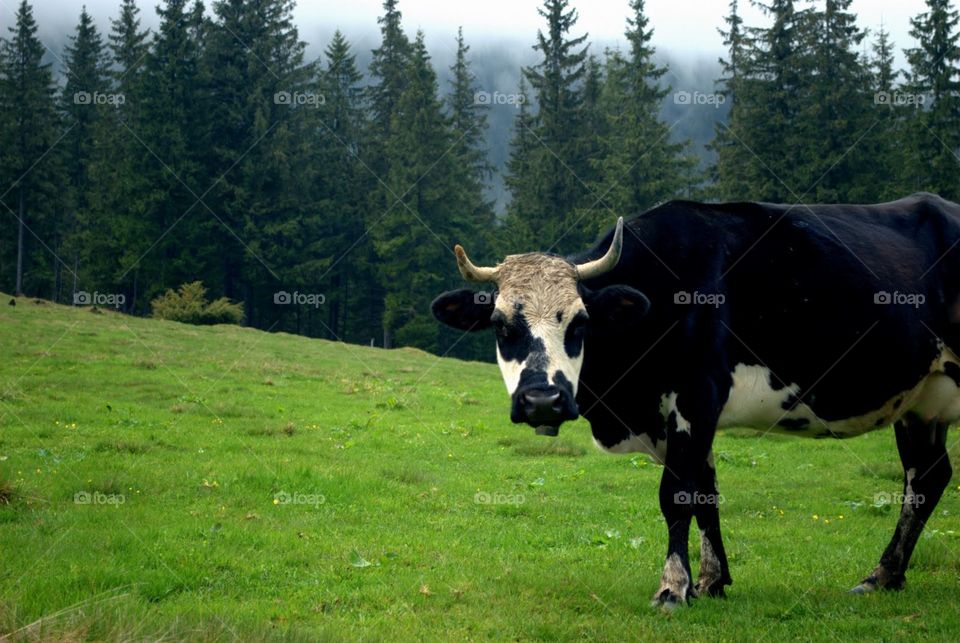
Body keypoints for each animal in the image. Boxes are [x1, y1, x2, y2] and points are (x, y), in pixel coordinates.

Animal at [432, 193, 960, 609]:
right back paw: (883, 576)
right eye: (501, 326)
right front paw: (711, 581)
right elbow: (705, 492)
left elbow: (677, 494)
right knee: (927, 477)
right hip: (921, 402)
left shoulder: (697, 395)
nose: (543, 400)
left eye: (580, 322)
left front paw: (672, 587)